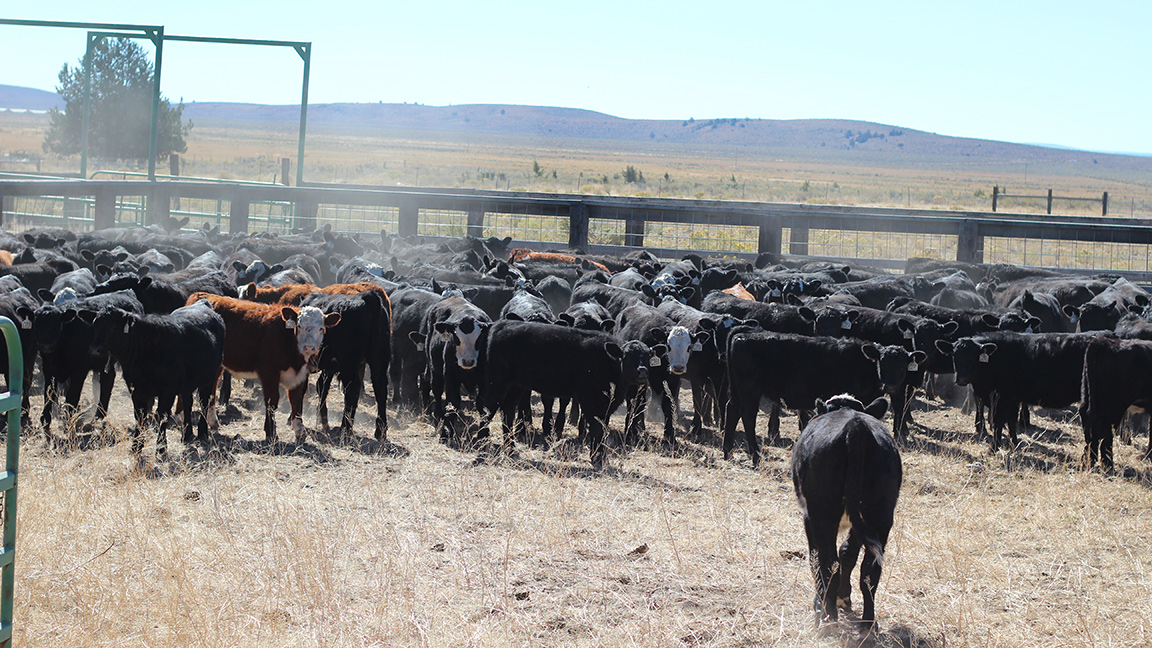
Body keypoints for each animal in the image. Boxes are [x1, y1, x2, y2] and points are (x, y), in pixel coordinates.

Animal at [188, 290, 338, 440]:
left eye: (321, 328)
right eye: (299, 326)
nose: (309, 347)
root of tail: (203, 295)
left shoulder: (300, 375)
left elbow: (296, 401)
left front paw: (299, 430)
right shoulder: (269, 374)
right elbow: (272, 402)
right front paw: (271, 432)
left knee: (212, 391)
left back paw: (213, 422)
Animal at [792, 392, 898, 622]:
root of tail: (855, 427)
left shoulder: (808, 517)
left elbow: (817, 557)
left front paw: (820, 601)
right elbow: (848, 553)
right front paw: (844, 596)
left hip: (823, 515)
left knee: (827, 563)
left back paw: (827, 617)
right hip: (880, 515)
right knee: (870, 571)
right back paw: (868, 622)